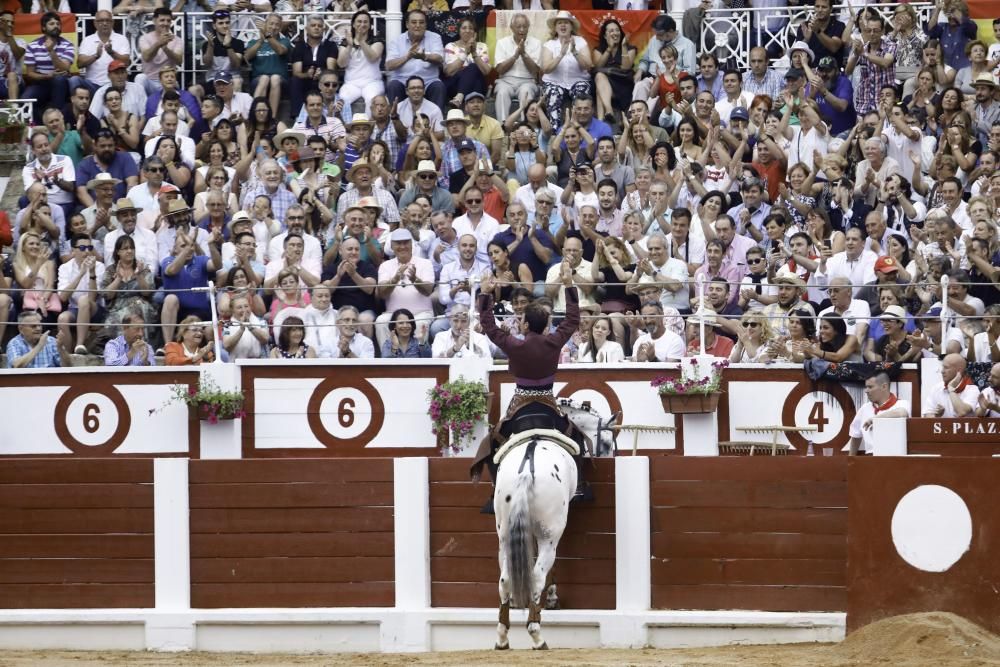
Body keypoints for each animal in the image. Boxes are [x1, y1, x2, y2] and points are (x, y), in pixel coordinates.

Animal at [492, 400, 616, 648]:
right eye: (607, 442)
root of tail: (526, 471)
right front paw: (551, 599)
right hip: (550, 533)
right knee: (539, 574)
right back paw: (537, 635)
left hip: (504, 533)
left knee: (505, 578)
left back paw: (502, 638)